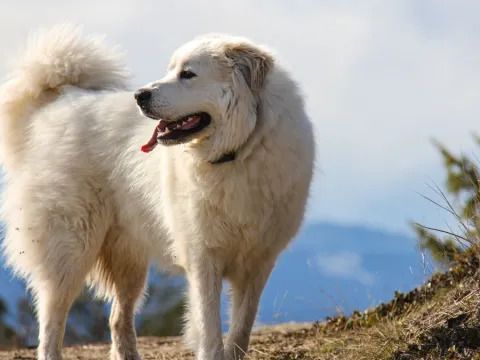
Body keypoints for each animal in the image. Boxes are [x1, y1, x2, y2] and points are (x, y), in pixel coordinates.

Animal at [0, 26, 316, 360]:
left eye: (188, 74)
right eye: (170, 70)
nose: (140, 95)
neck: (239, 151)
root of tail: (60, 100)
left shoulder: (258, 262)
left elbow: (242, 326)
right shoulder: (203, 257)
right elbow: (209, 326)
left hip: (129, 261)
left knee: (118, 318)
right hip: (70, 248)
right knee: (52, 318)